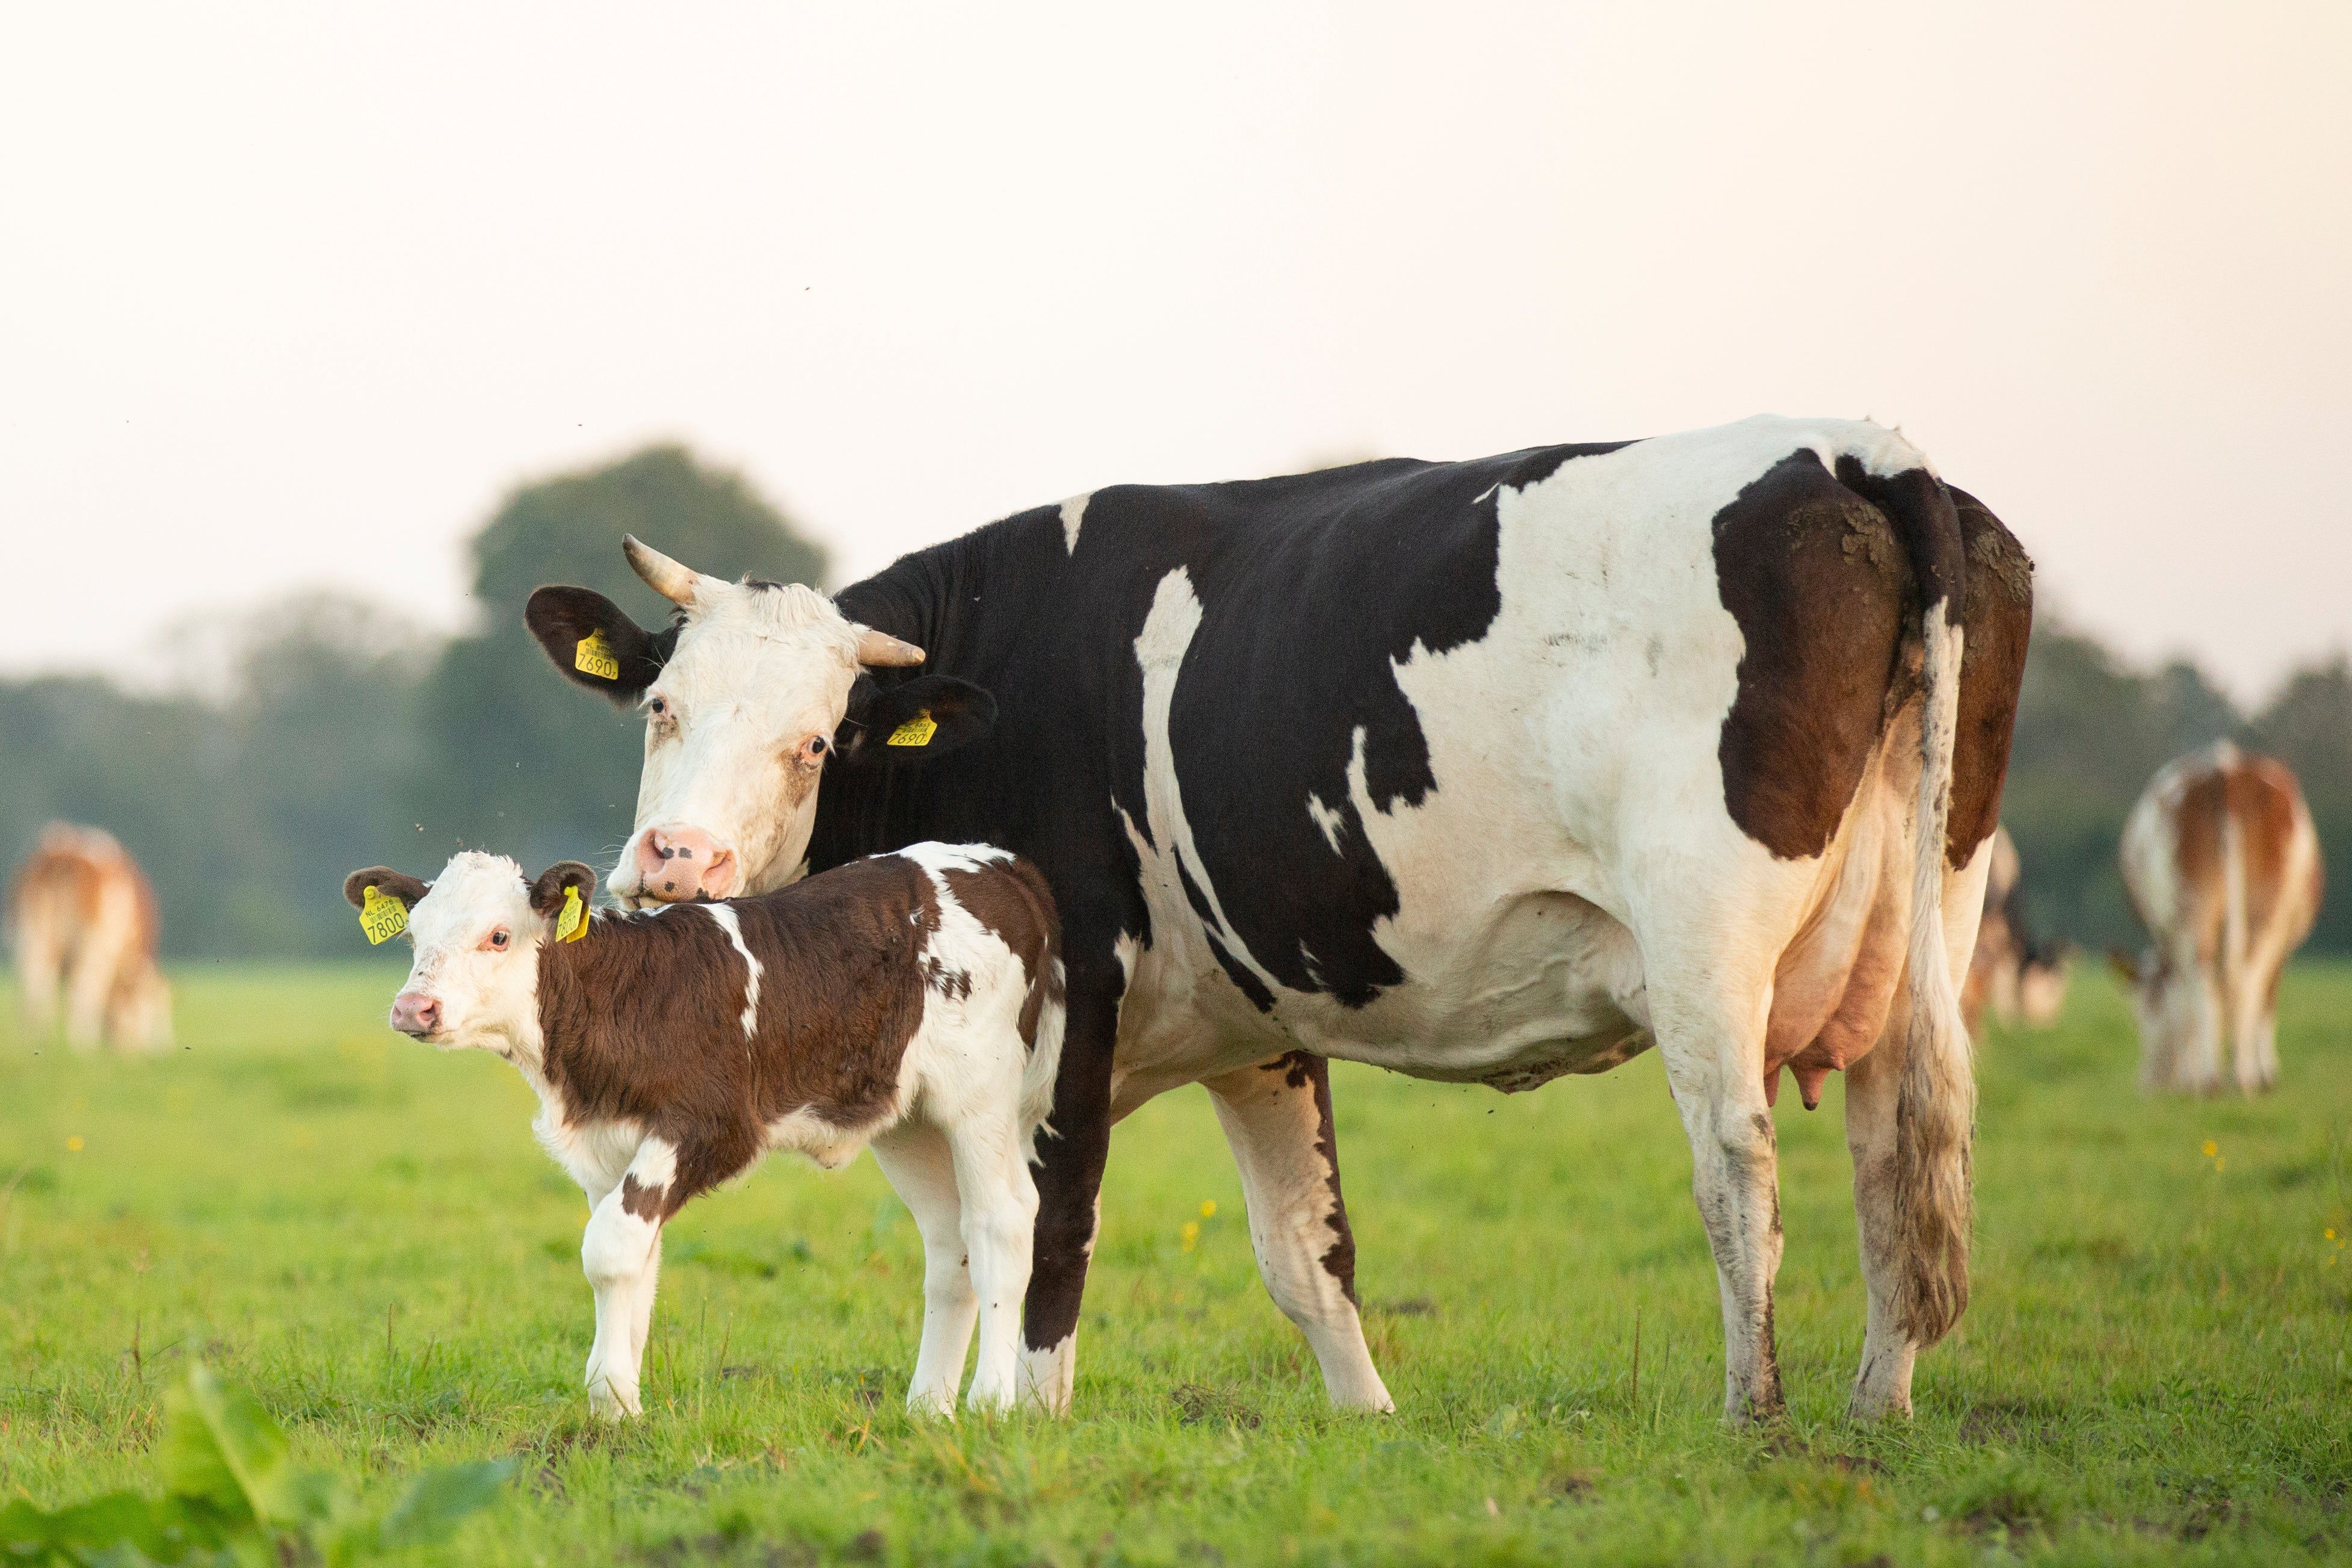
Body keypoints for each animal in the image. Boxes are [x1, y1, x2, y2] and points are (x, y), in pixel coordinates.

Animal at [9, 822, 173, 1053]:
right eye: (154, 1010)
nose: (162, 1050)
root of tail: (65, 855)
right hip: (93, 945)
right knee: (83, 988)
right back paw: (83, 1044)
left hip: (32, 934)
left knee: (36, 982)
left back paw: (34, 1041)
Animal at [345, 842, 1064, 1418]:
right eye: (412, 937)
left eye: (498, 936)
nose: (414, 1008)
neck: (623, 999)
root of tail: (1000, 862)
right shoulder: (608, 1150)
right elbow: (635, 1262)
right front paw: (620, 1410)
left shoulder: (711, 1125)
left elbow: (609, 1248)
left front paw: (609, 1393)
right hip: (910, 1120)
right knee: (949, 1242)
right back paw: (927, 1407)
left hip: (979, 1095)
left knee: (1000, 1220)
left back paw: (991, 1402)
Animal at [524, 414, 2033, 1422]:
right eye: (661, 706)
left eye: (815, 742)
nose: (678, 858)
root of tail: (1849, 451)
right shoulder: (1257, 1030)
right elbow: (1309, 1254)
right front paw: (1365, 1423)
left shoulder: (1074, 1000)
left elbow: (1049, 1232)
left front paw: (1022, 1426)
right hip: (1929, 916)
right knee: (1898, 1156)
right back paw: (1874, 1408)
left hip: (1704, 934)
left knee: (1738, 1173)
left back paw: (1752, 1415)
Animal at [2113, 742, 2321, 1095]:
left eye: (2142, 1012)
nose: (2149, 1084)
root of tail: (2227, 771)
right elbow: (2264, 1000)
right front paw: (2266, 1073)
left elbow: (2182, 1004)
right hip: (2254, 915)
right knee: (2240, 978)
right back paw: (2235, 1078)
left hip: (2201, 910)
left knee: (2211, 981)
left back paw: (2217, 1078)